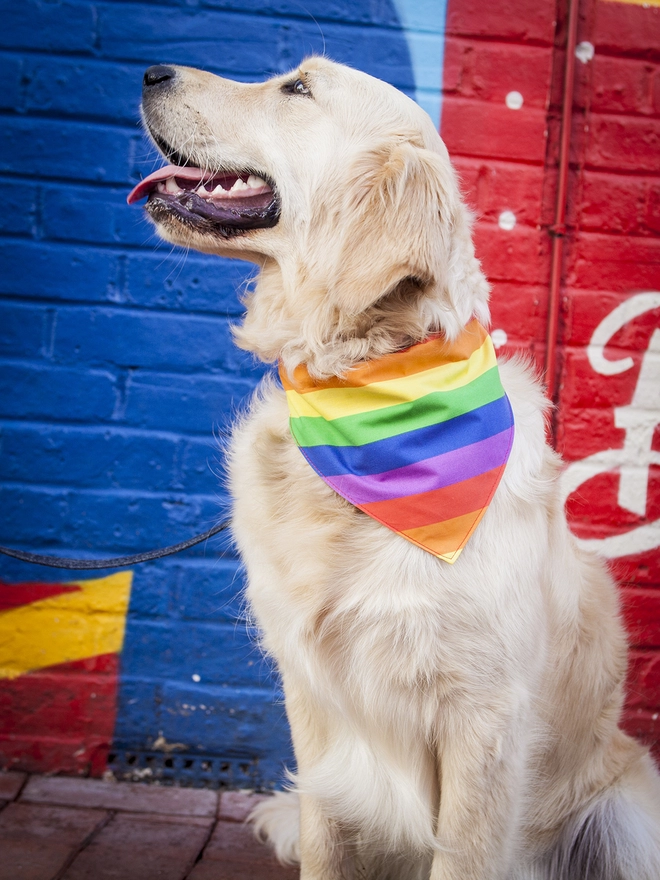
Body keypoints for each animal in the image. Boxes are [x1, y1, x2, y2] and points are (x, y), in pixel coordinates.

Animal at [127, 56, 660, 880]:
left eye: (298, 89)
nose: (152, 71)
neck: (367, 388)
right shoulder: (316, 707)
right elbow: (325, 841)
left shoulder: (484, 718)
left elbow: (464, 855)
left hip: (628, 815)